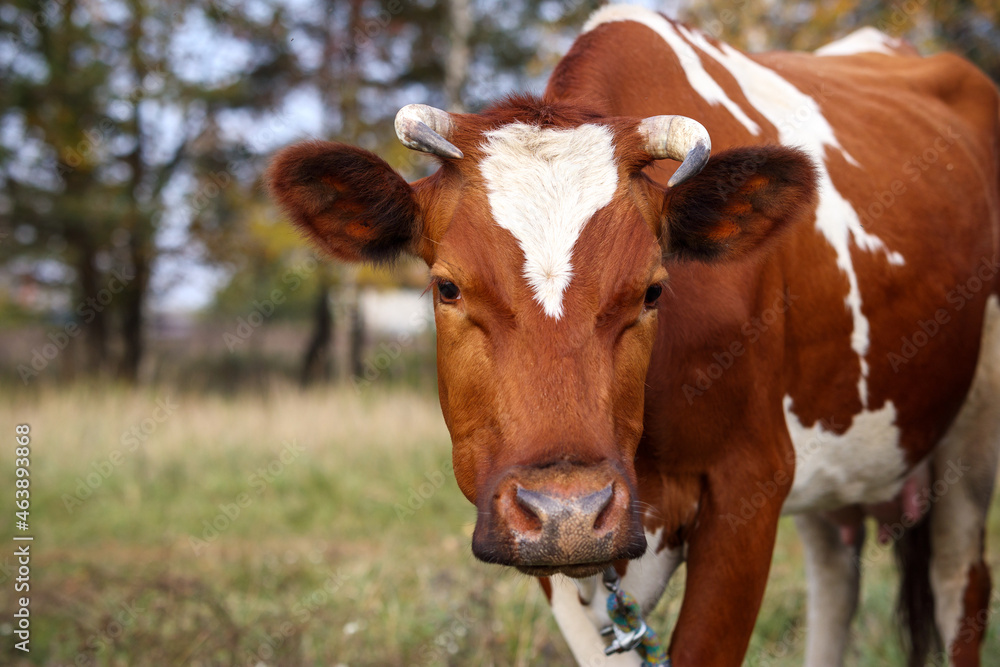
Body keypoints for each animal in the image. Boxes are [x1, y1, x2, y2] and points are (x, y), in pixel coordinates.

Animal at [267, 5, 1000, 666]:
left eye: (652, 289)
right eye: (447, 287)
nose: (568, 511)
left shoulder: (751, 482)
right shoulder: (544, 539)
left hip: (968, 445)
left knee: (958, 586)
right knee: (834, 583)